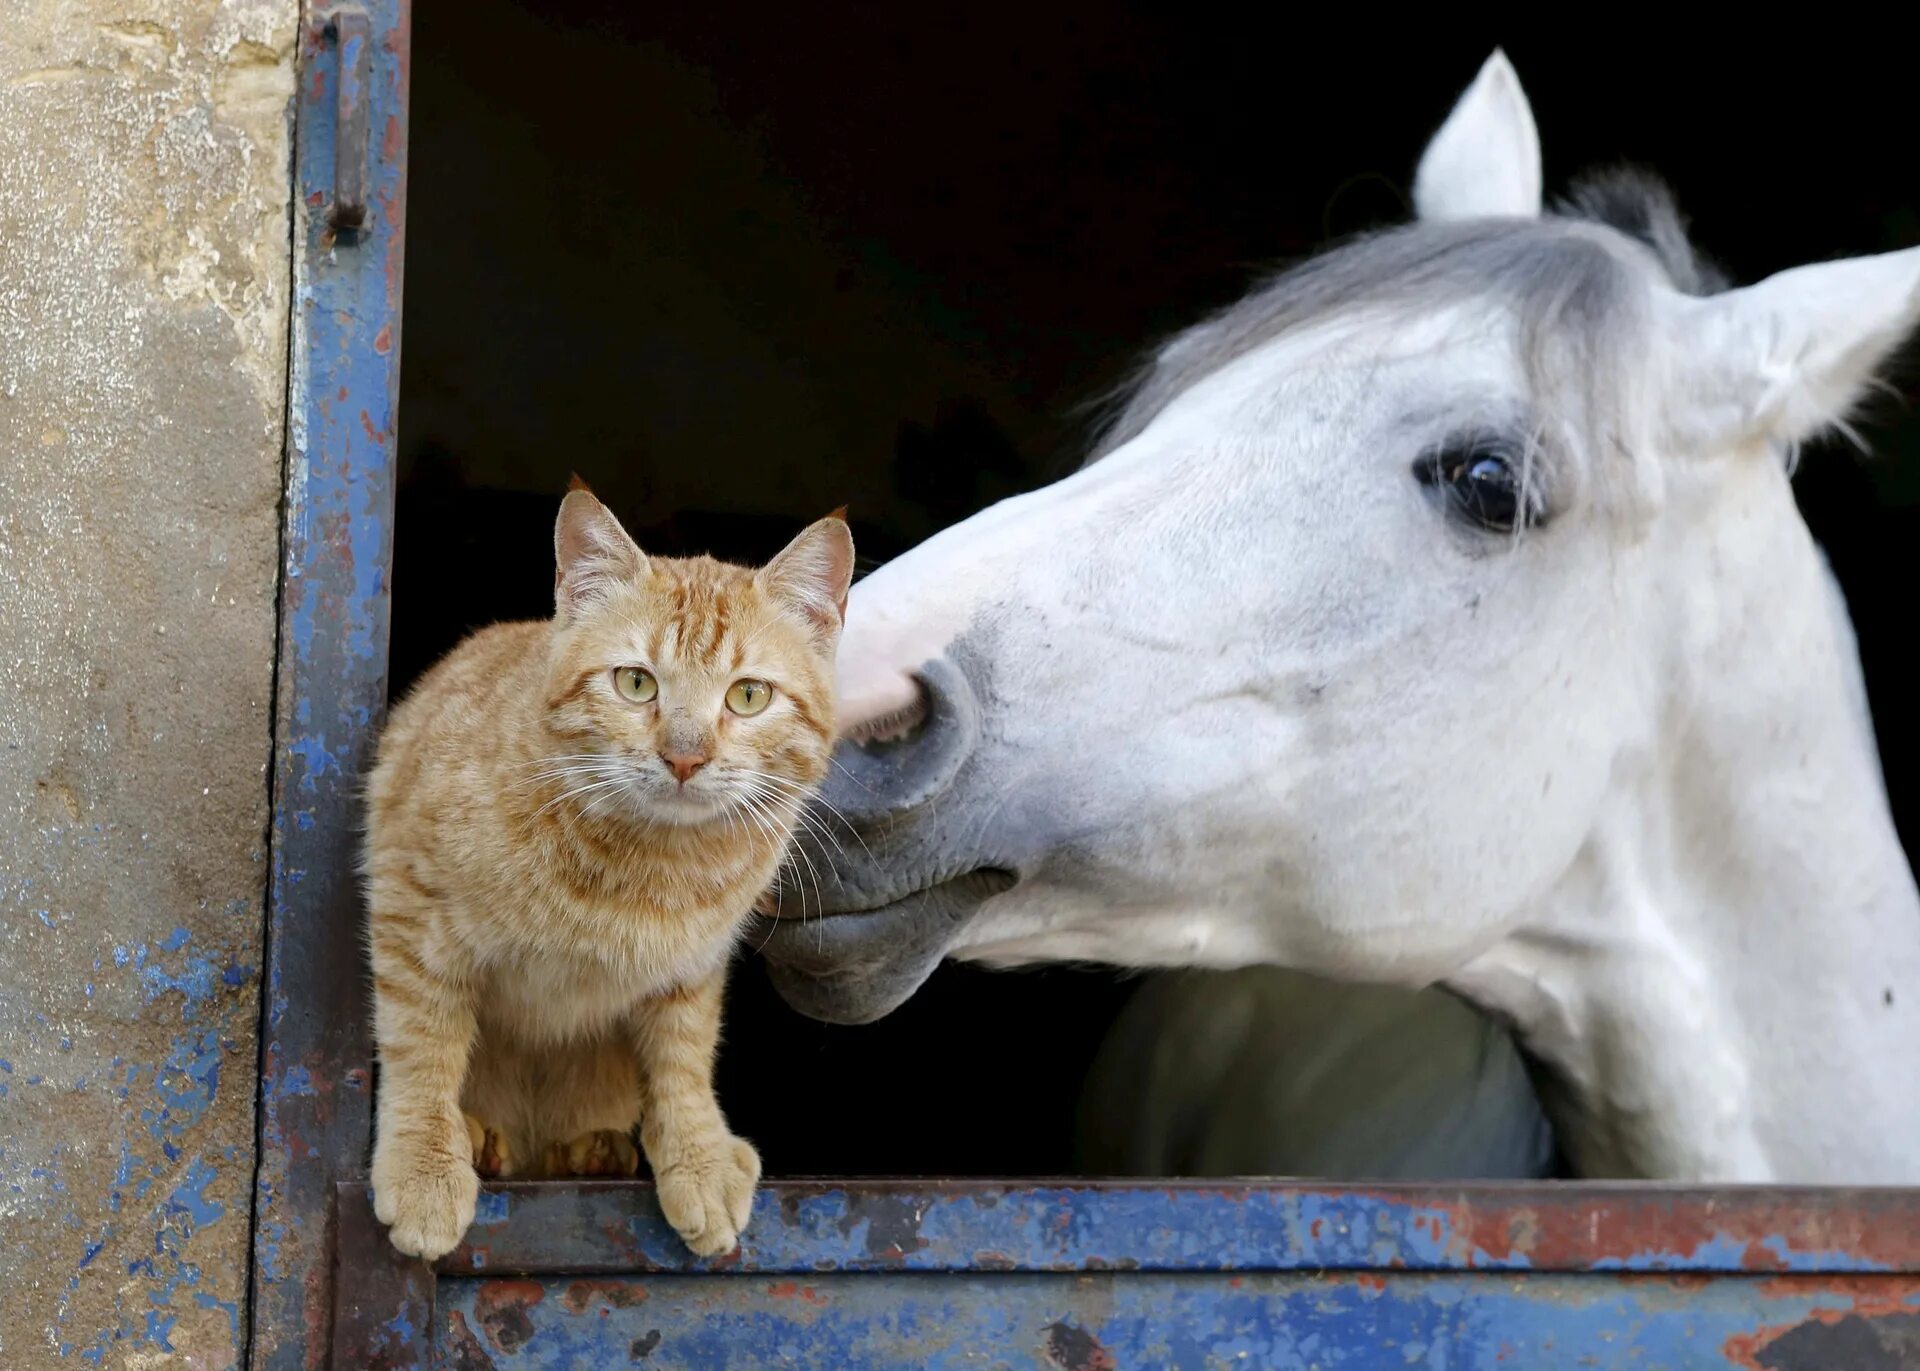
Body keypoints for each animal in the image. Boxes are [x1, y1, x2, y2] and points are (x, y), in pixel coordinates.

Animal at [362, 483, 852, 1259]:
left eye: (748, 695)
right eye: (636, 683)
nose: (685, 756)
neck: (655, 859)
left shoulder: (694, 963)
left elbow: (684, 1055)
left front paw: (697, 1153)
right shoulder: (410, 904)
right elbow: (422, 1040)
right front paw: (423, 1162)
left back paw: (592, 1149)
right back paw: (482, 1138)